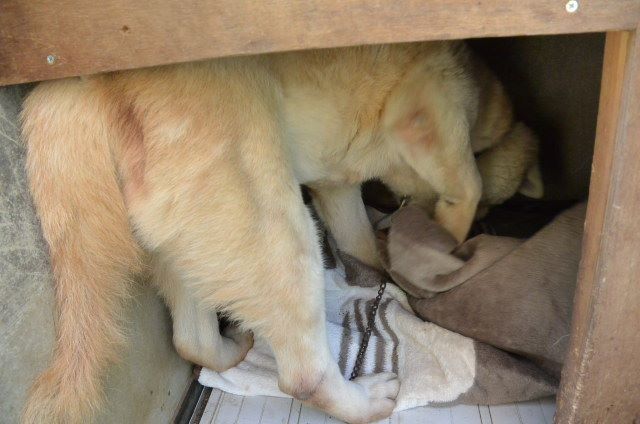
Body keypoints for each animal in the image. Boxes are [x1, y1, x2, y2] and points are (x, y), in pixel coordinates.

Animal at [21, 40, 540, 424]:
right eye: (493, 210)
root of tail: (88, 85)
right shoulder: (430, 105)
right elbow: (466, 184)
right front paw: (441, 253)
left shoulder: (337, 186)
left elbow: (360, 242)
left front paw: (385, 269)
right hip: (272, 224)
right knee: (304, 374)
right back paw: (365, 399)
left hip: (188, 241)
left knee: (192, 340)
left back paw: (233, 348)